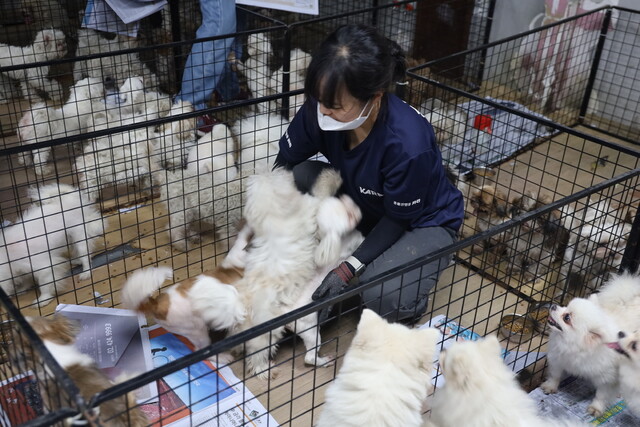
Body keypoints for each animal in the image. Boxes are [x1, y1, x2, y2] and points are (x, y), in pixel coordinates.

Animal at [544, 274, 640, 418]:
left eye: (567, 318)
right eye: (565, 307)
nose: (554, 306)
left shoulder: (607, 378)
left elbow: (601, 395)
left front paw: (596, 408)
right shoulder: (558, 359)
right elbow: (555, 375)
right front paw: (550, 386)